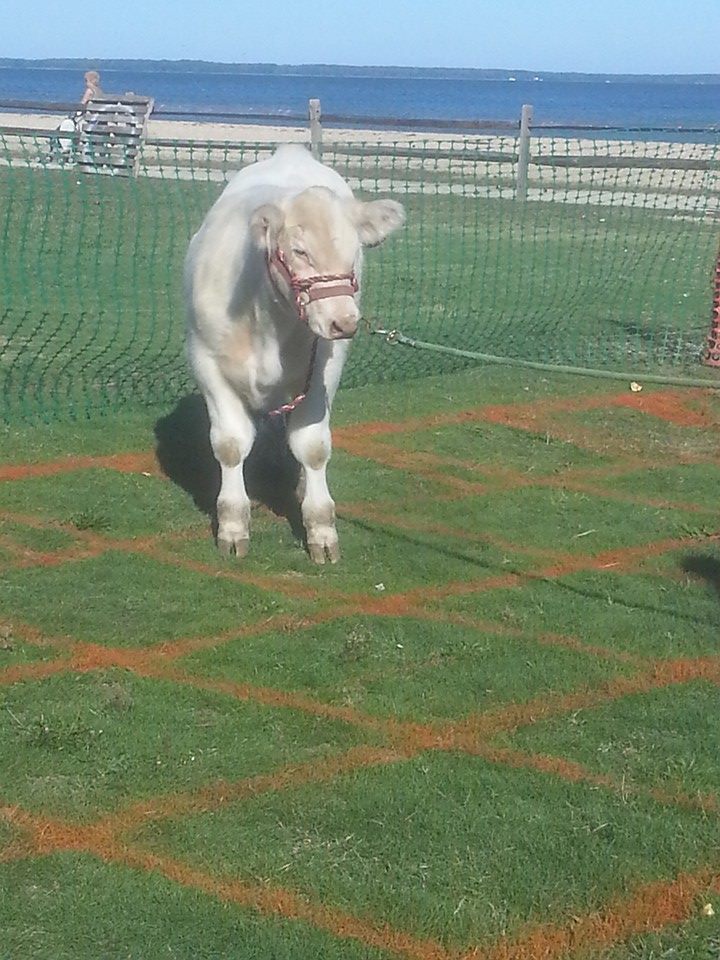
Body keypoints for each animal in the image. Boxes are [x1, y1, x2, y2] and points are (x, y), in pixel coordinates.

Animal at [184, 143, 404, 564]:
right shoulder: (205, 360)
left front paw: (321, 530)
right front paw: (232, 525)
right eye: (300, 251)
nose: (344, 322)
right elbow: (231, 444)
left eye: (354, 253)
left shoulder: (323, 369)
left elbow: (313, 447)